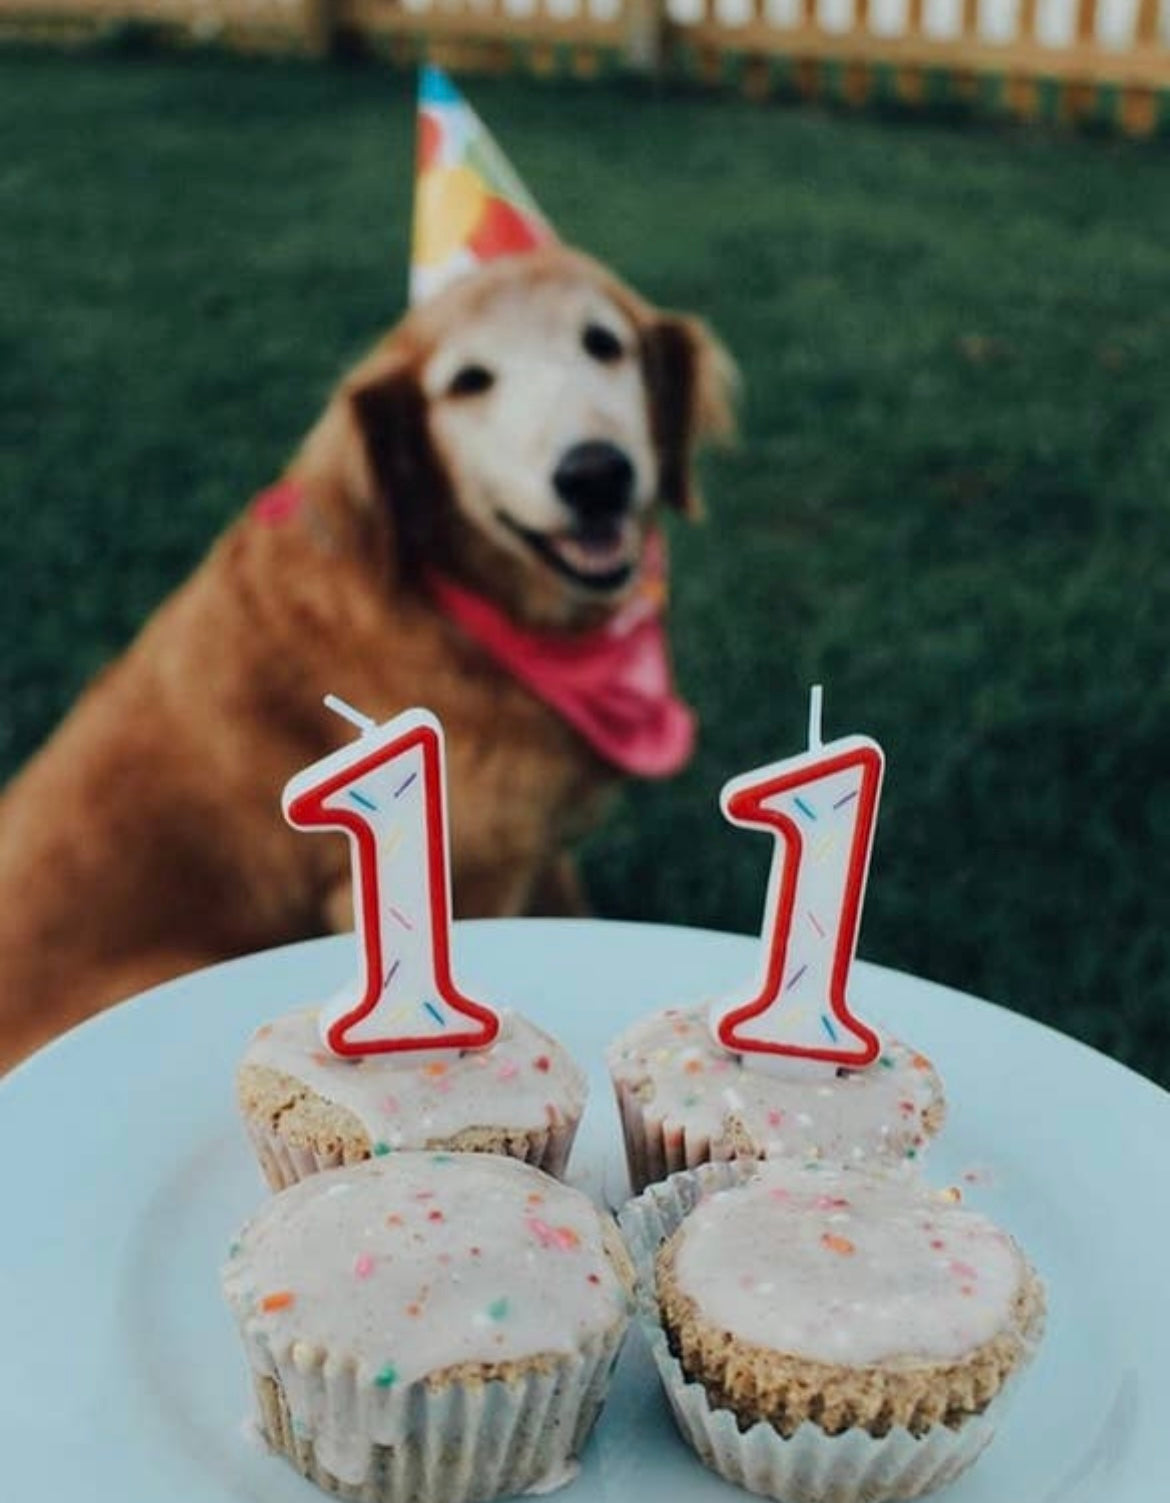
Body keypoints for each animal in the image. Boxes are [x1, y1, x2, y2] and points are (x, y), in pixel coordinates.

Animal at [0, 246, 727, 1070]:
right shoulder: (439, 878)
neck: (461, 610)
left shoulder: (536, 850)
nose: (595, 474)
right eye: (469, 381)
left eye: (604, 343)